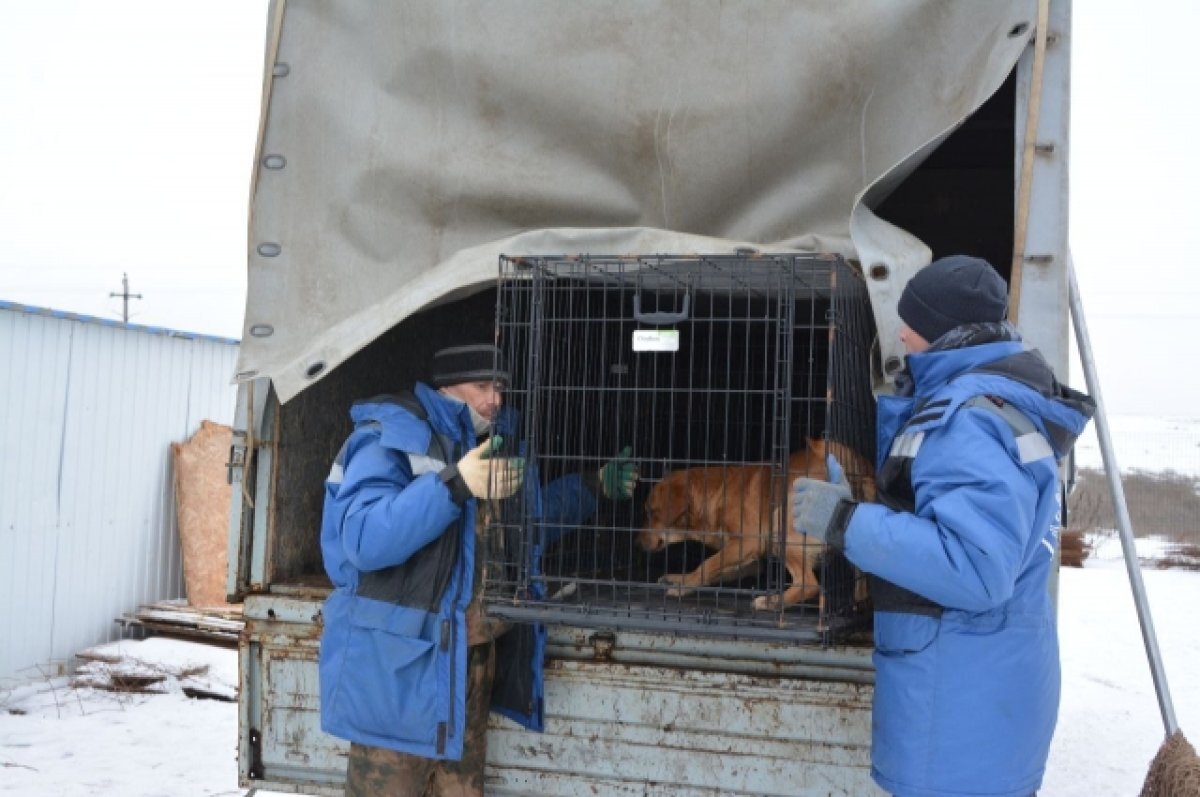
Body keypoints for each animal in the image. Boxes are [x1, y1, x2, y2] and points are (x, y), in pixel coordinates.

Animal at [638, 439, 873, 612]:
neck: (716, 494)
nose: (636, 542)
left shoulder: (746, 543)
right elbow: (714, 570)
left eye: (650, 512)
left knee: (809, 583)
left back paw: (773, 602)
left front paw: (682, 585)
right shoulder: (750, 559)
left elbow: (707, 564)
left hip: (781, 525)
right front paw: (682, 580)